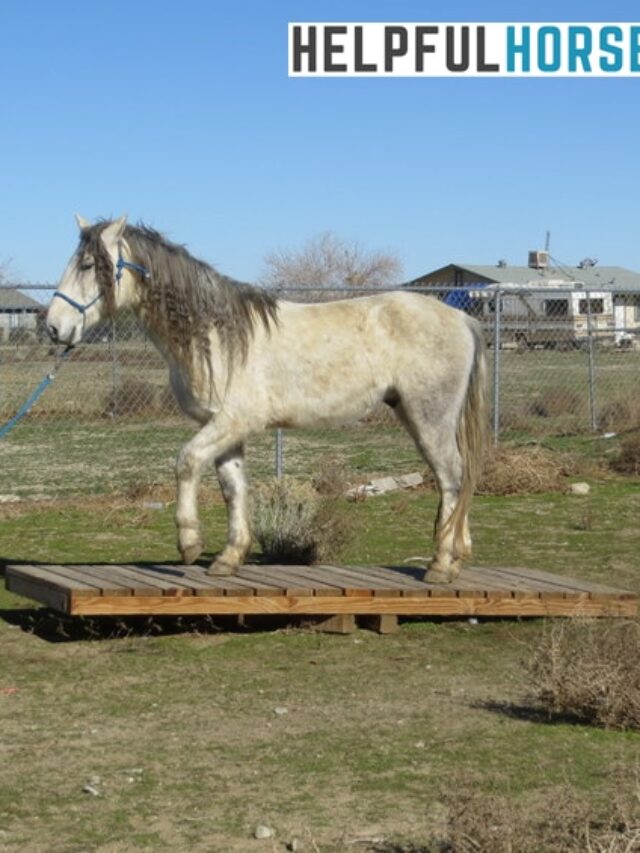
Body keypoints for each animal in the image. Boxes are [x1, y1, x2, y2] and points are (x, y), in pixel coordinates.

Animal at [46, 215, 487, 582]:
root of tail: (461, 318)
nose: (53, 327)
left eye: (88, 265)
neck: (216, 335)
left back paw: (440, 565)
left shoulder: (230, 423)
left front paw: (189, 542)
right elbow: (233, 489)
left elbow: (185, 462)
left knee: (451, 476)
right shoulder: (224, 431)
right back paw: (456, 556)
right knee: (456, 476)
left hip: (430, 416)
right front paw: (229, 558)